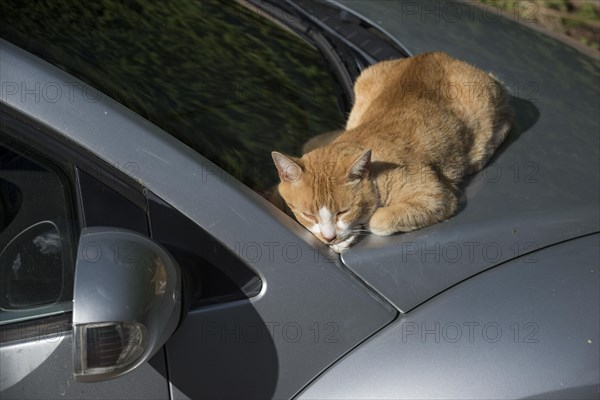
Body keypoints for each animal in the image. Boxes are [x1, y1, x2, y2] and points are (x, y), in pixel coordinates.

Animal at [272, 51, 510, 252]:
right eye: (308, 215)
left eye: (343, 212)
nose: (329, 237)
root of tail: (433, 54)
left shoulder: (436, 196)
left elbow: (378, 220)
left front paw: (360, 228)